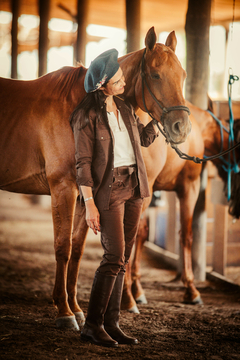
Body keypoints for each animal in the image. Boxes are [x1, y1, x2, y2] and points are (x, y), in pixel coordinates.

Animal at [0, 28, 191, 330]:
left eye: (182, 75)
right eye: (156, 75)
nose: (181, 128)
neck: (79, 105)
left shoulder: (84, 196)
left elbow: (77, 250)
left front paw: (76, 308)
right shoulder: (63, 189)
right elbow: (63, 247)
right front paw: (64, 311)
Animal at [122, 102, 240, 314]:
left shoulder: (154, 189)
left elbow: (143, 233)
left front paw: (138, 289)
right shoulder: (188, 187)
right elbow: (186, 235)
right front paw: (191, 290)